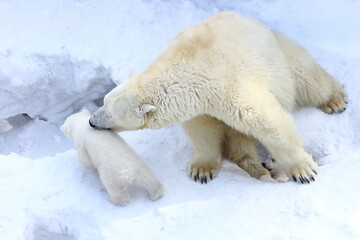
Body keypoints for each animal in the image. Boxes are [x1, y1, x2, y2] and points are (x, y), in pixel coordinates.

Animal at [88, 11, 348, 184]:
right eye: (102, 102)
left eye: (109, 113)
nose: (91, 121)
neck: (186, 65)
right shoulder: (197, 105)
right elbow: (203, 131)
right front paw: (201, 170)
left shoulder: (228, 83)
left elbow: (267, 120)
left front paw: (303, 170)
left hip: (281, 56)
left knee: (308, 78)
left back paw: (335, 101)